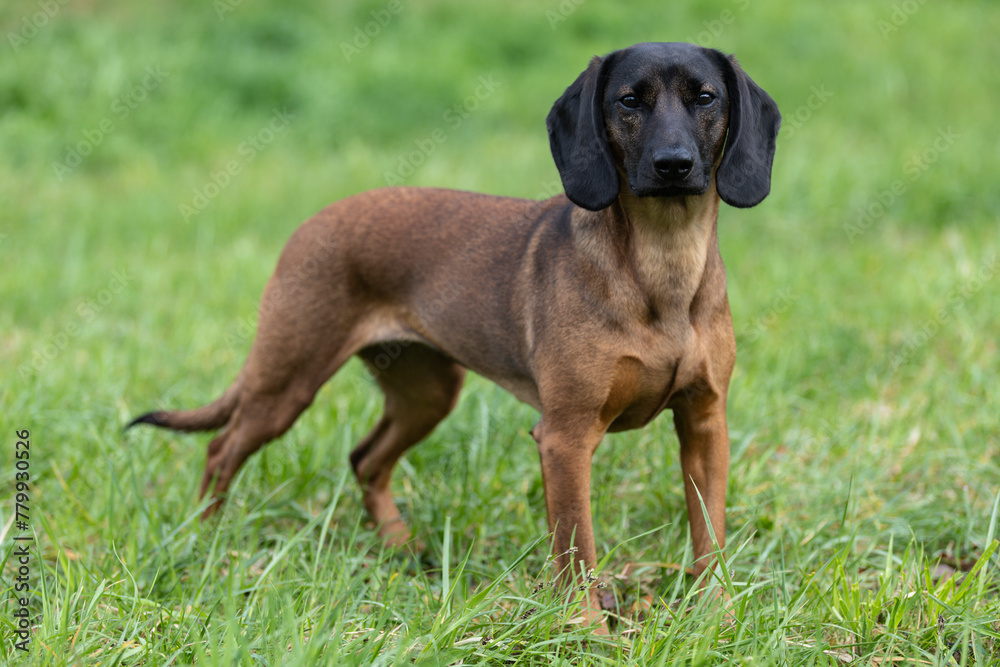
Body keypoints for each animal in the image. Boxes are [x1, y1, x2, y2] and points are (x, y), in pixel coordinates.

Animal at [127, 43, 780, 632]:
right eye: (628, 101)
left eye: (705, 97)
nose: (674, 164)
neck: (661, 271)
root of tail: (314, 223)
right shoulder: (564, 440)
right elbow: (577, 552)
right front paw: (589, 631)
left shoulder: (704, 424)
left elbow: (710, 538)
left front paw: (716, 619)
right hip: (286, 382)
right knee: (222, 449)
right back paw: (208, 540)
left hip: (426, 393)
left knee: (365, 459)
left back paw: (398, 546)